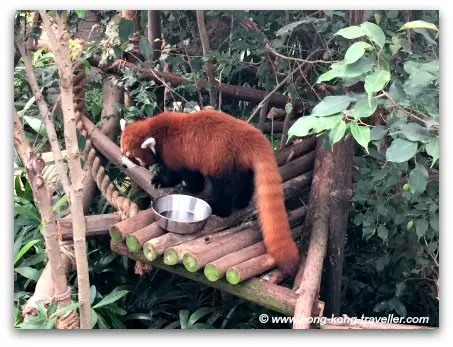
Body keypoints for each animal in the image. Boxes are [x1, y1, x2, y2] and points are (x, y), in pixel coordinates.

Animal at [119, 109, 300, 278]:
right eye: (122, 151)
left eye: (132, 156)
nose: (124, 165)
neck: (157, 131)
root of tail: (252, 135)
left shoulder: (176, 153)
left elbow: (185, 176)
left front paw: (178, 185)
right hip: (240, 163)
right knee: (246, 181)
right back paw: (241, 202)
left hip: (222, 159)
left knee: (225, 188)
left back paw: (220, 209)